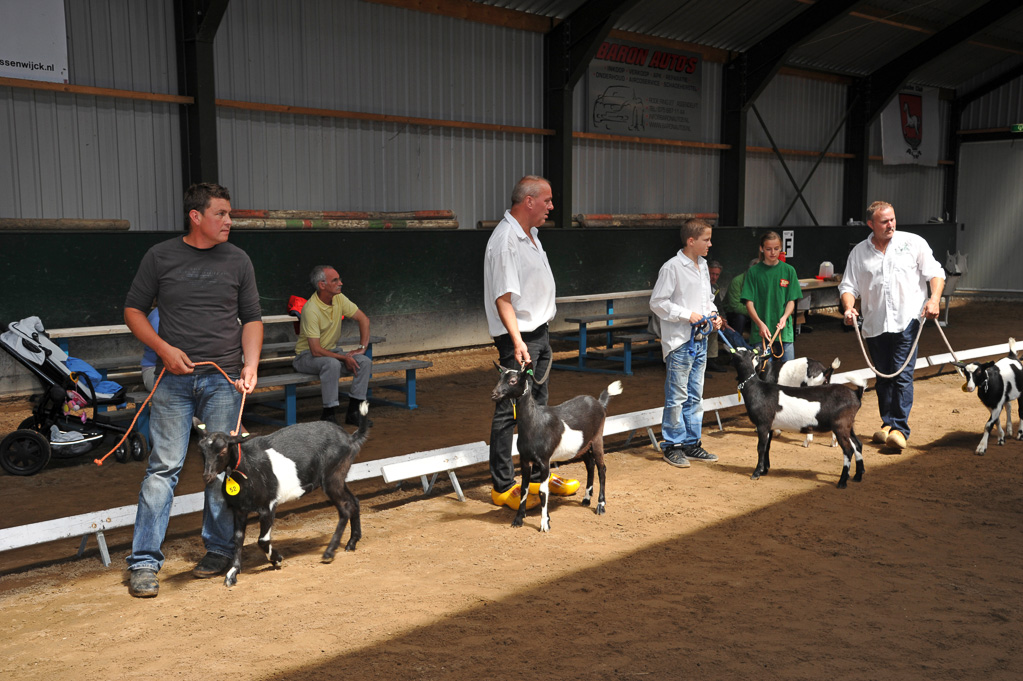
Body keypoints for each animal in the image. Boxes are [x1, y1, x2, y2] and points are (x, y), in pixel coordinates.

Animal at [193, 402, 370, 584]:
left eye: (222, 451)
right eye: (202, 451)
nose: (207, 476)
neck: (247, 467)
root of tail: (350, 439)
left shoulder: (268, 506)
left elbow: (262, 540)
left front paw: (276, 560)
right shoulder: (239, 510)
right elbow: (238, 538)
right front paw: (232, 573)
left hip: (332, 477)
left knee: (345, 509)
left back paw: (329, 553)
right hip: (338, 476)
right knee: (354, 501)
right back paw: (352, 542)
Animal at [488, 359, 617, 531]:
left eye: (513, 381)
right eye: (499, 378)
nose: (494, 394)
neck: (535, 423)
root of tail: (599, 403)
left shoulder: (544, 461)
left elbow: (543, 491)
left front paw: (545, 523)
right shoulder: (525, 459)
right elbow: (524, 489)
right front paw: (518, 519)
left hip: (597, 438)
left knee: (601, 468)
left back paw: (600, 505)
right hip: (583, 446)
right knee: (590, 465)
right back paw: (586, 498)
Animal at [732, 347, 867, 484]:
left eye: (753, 356)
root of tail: (856, 394)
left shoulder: (764, 423)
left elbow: (761, 447)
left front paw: (757, 473)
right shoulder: (769, 424)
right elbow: (767, 446)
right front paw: (765, 470)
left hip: (837, 421)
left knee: (848, 449)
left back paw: (841, 480)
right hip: (846, 424)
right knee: (857, 444)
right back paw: (857, 474)